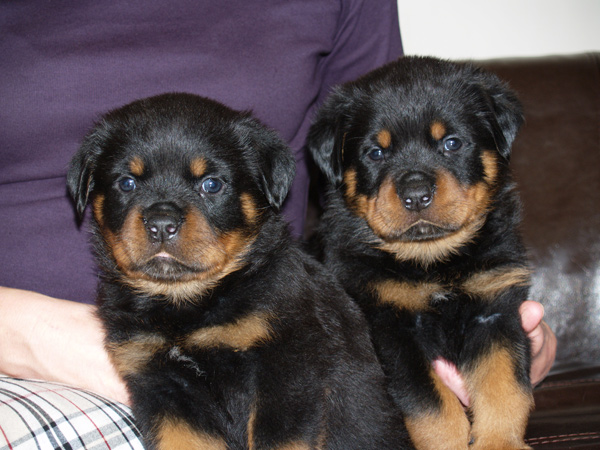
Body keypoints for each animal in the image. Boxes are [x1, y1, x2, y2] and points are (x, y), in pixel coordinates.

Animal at [67, 93, 412, 450]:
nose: (161, 223)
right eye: (127, 183)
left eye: (211, 184)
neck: (187, 306)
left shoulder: (286, 367)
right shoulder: (161, 385)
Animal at [308, 57, 534, 450]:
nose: (416, 194)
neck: (432, 261)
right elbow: (432, 407)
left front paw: (500, 442)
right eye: (376, 152)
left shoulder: (495, 308)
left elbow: (504, 386)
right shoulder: (392, 326)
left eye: (452, 143)